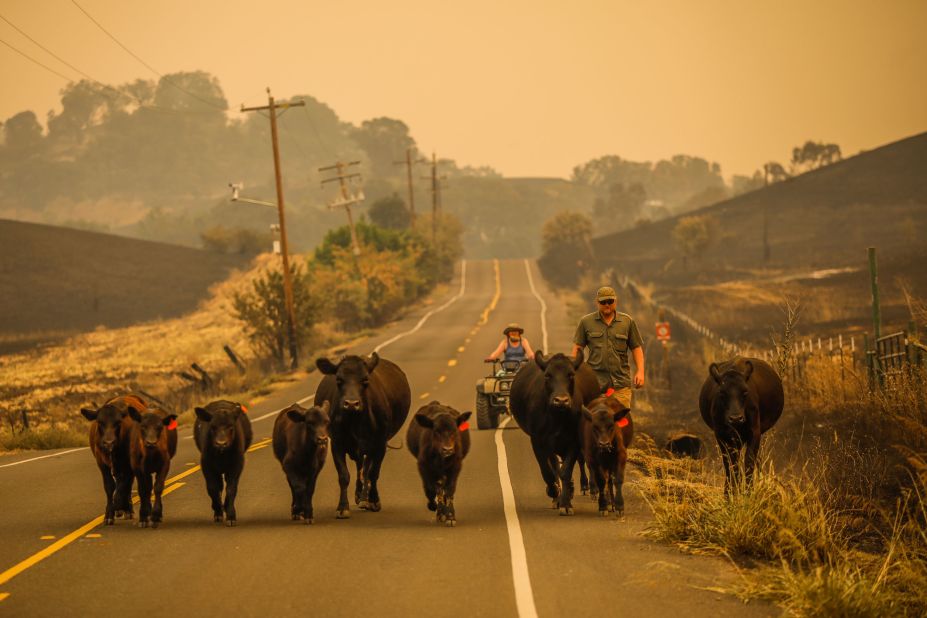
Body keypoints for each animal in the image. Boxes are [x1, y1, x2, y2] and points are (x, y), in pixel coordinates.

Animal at [316, 352, 410, 516]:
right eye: (339, 380)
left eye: (365, 380)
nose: (351, 403)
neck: (356, 422)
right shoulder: (337, 444)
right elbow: (344, 475)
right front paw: (342, 507)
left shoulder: (380, 444)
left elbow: (373, 473)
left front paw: (374, 501)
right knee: (361, 466)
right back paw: (359, 495)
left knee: (366, 469)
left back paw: (365, 498)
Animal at [512, 348, 600, 512]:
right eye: (548, 375)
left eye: (571, 374)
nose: (561, 400)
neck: (557, 418)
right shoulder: (538, 441)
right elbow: (548, 471)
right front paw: (555, 493)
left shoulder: (573, 441)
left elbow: (566, 471)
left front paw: (566, 503)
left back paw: (591, 488)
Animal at [704, 356, 784, 490]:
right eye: (722, 393)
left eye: (745, 392)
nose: (736, 418)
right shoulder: (721, 435)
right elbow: (730, 465)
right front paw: (730, 491)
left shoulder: (754, 433)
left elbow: (749, 463)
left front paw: (748, 490)